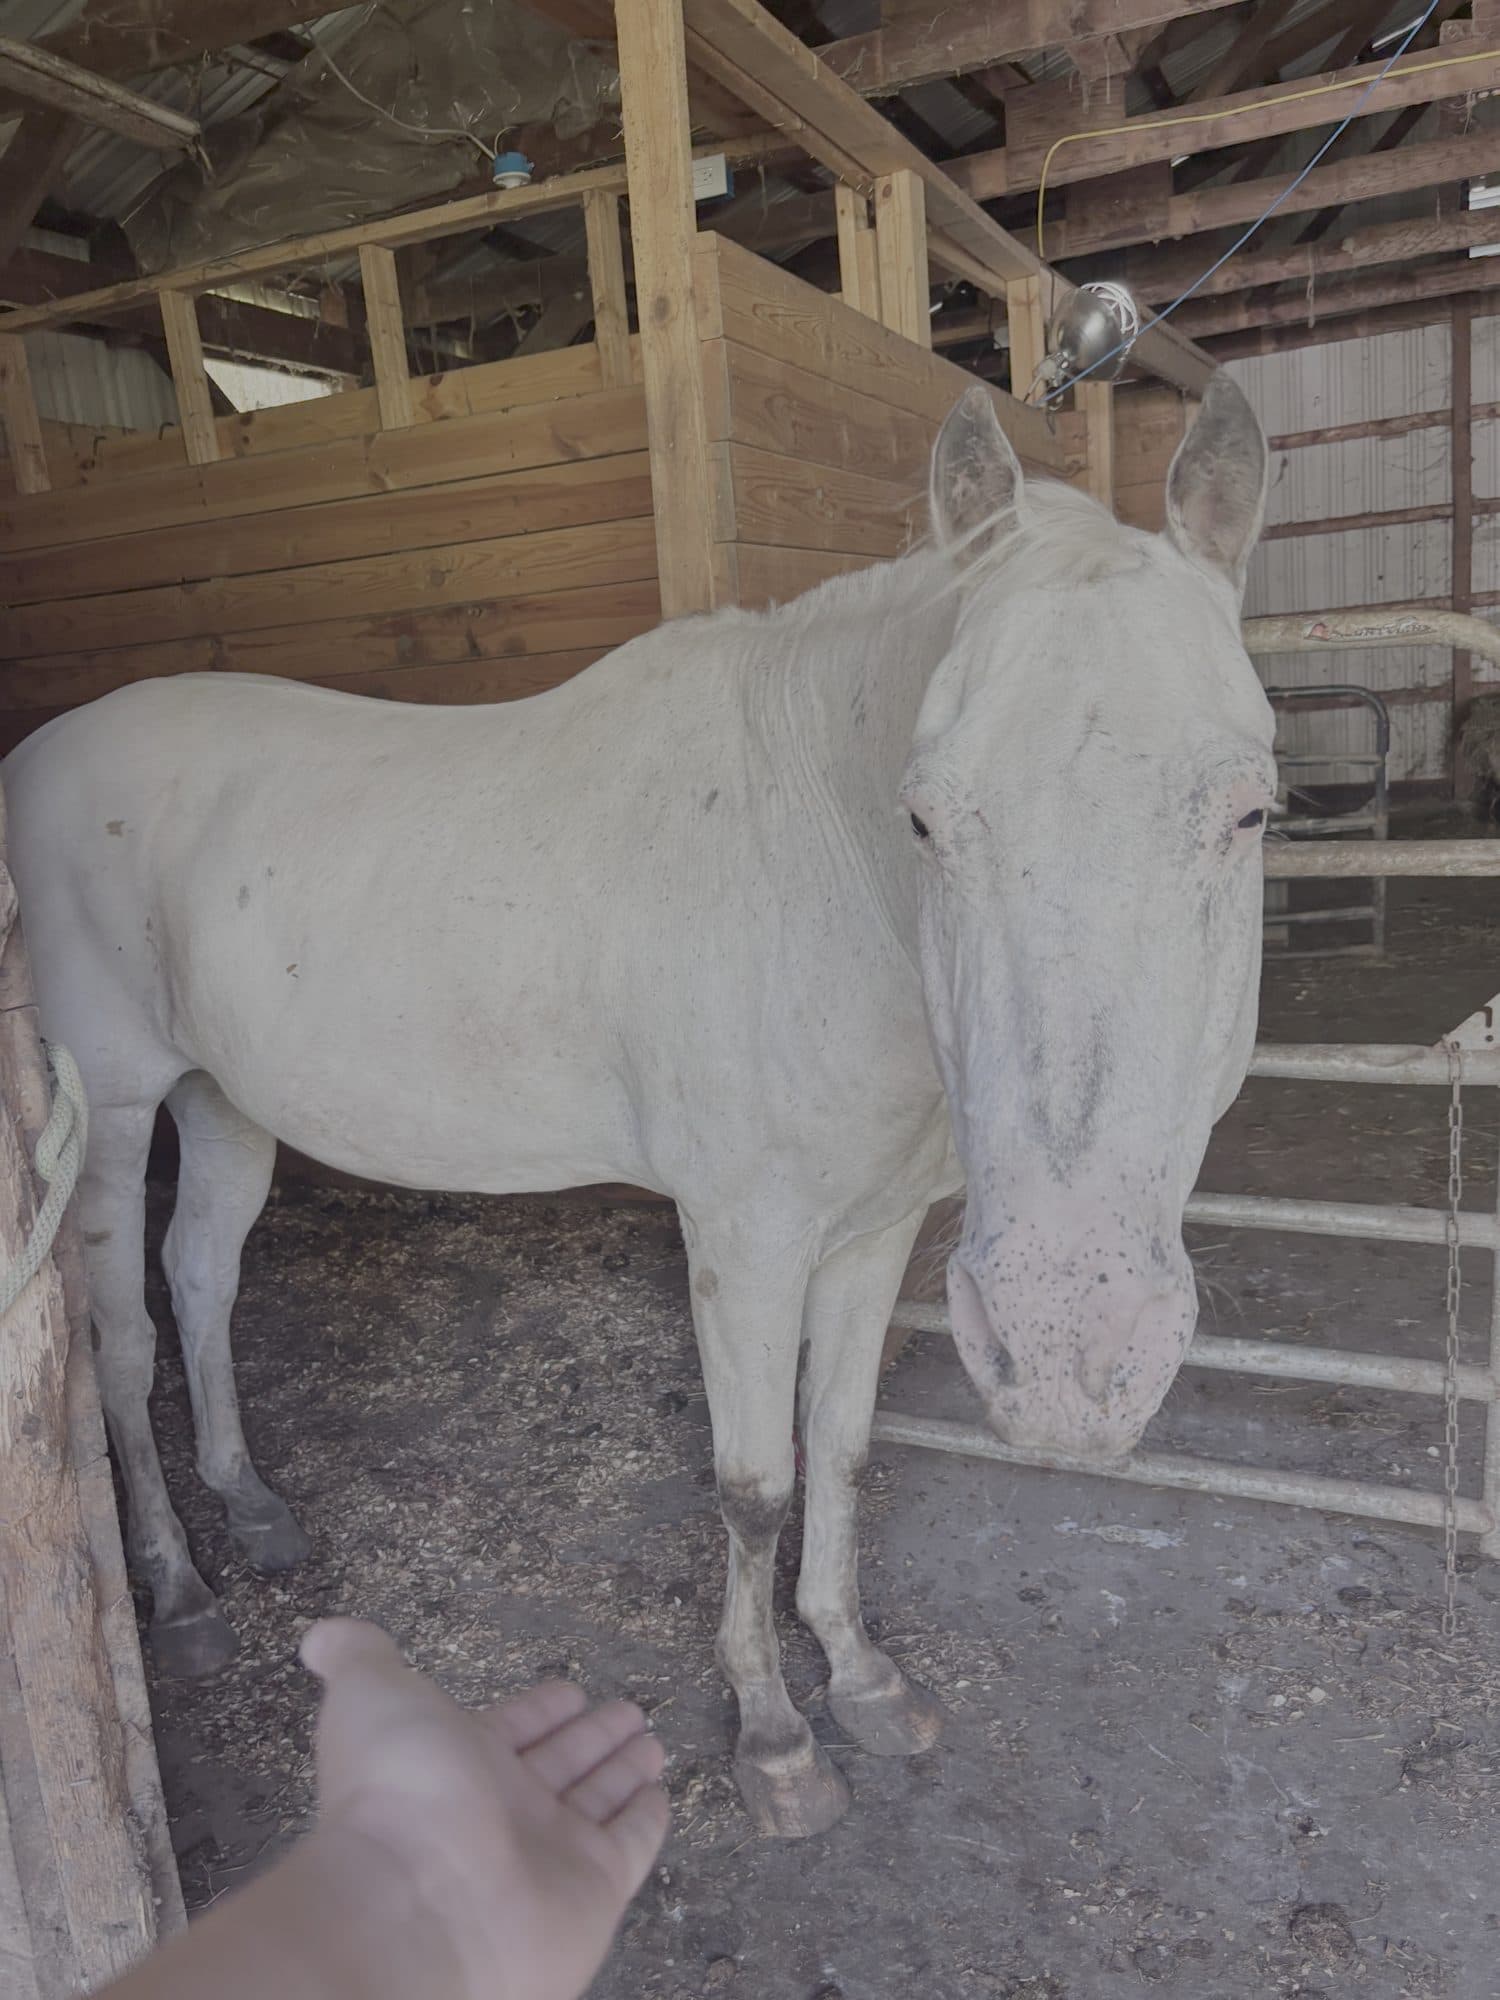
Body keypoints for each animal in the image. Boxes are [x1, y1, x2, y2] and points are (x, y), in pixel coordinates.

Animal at [3, 375, 1272, 1839]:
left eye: (1251, 812)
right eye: (925, 819)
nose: (1072, 1347)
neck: (817, 864)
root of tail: (33, 760)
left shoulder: (873, 1232)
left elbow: (841, 1451)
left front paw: (863, 1677)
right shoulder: (745, 1238)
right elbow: (756, 1485)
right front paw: (774, 1739)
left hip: (223, 1102)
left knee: (202, 1279)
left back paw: (254, 1511)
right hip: (108, 1121)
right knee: (123, 1345)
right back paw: (181, 1591)